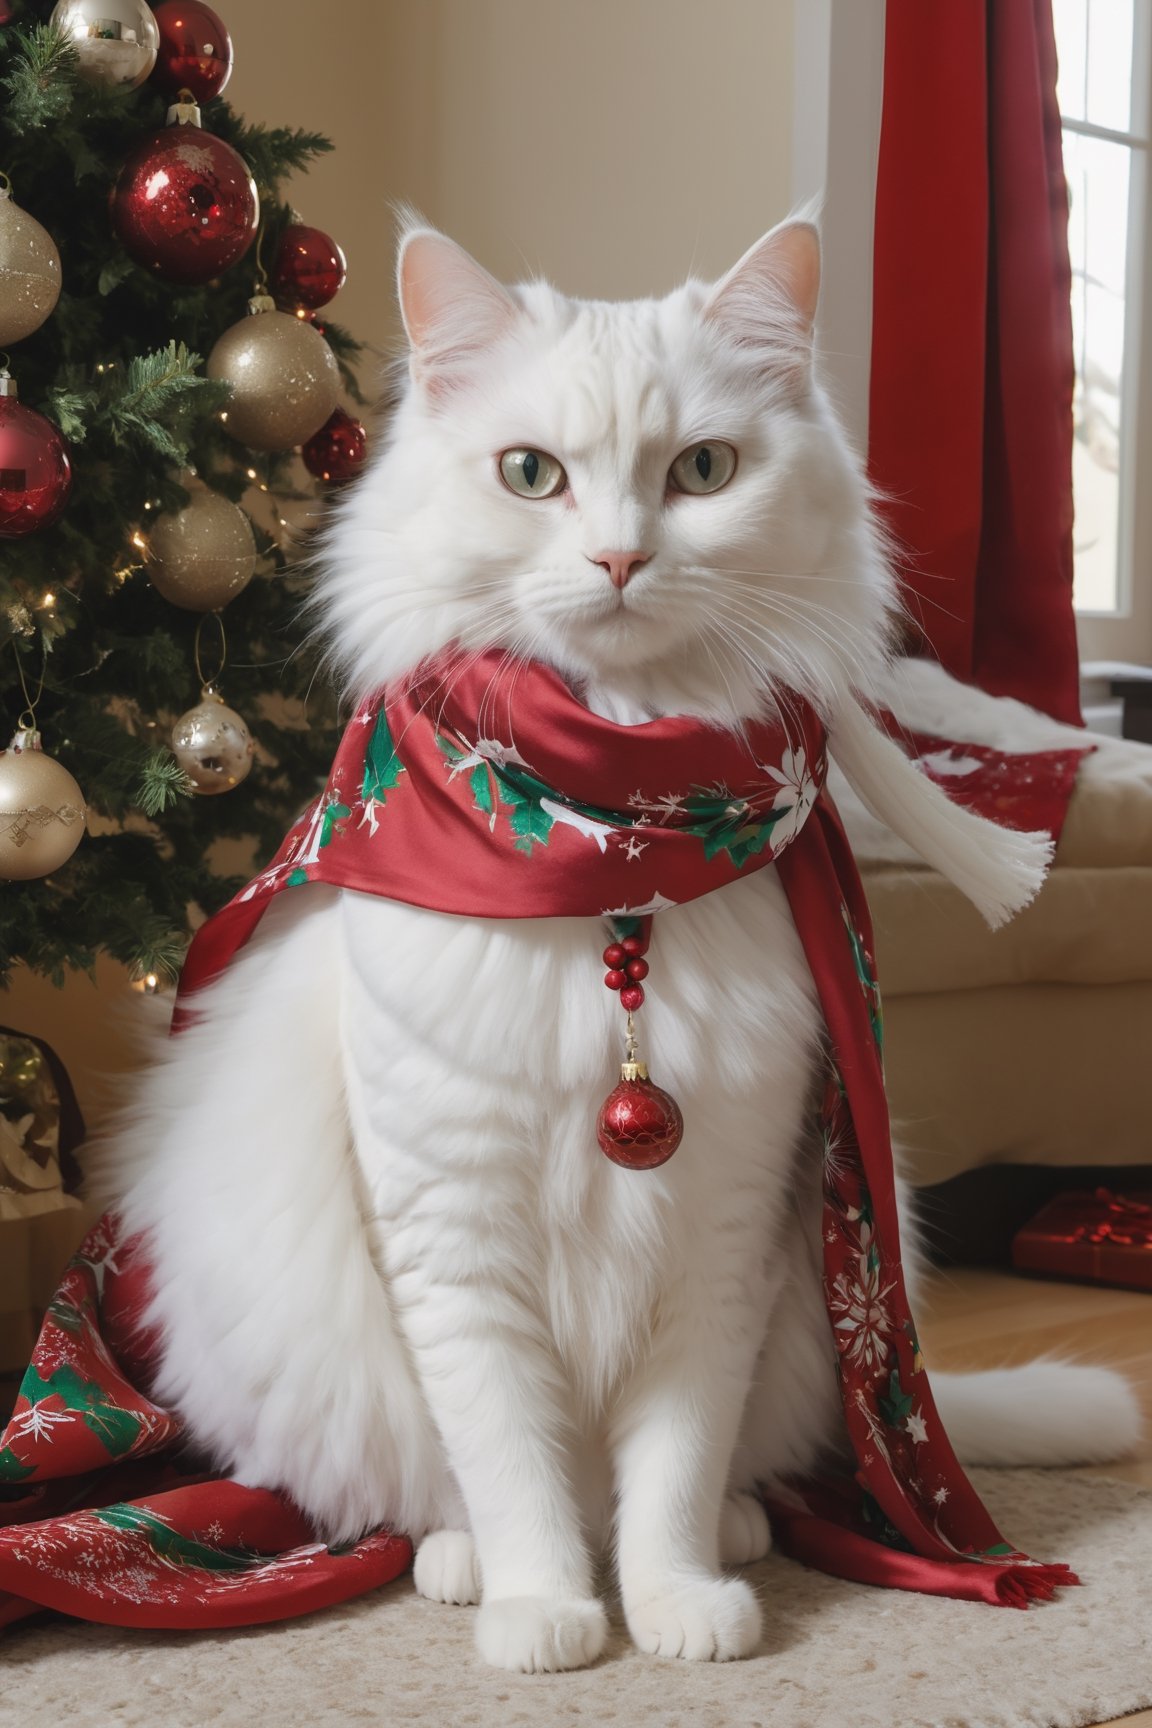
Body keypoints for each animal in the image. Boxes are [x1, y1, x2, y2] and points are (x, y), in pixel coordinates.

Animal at [101, 216, 1146, 1672]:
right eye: (530, 475)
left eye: (702, 471)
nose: (617, 562)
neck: (614, 849)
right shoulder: (455, 1241)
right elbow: (514, 1464)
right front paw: (550, 1614)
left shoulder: (726, 1232)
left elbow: (671, 1470)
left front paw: (675, 1606)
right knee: (435, 1495)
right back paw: (469, 1572)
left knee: (742, 1469)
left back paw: (741, 1536)